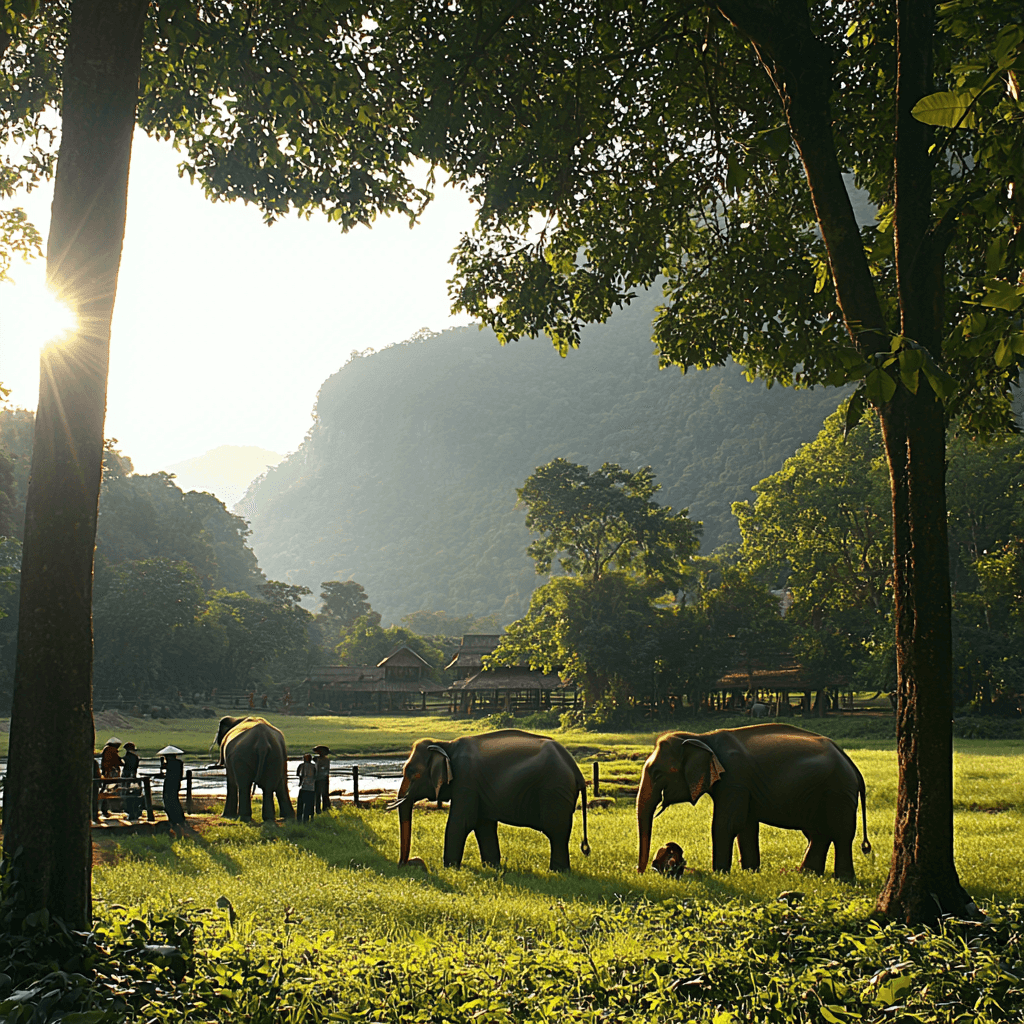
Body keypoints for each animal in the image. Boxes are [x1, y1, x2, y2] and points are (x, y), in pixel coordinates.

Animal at [387, 729, 591, 872]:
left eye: (413, 773)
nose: (411, 862)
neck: (446, 745)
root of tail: (576, 770)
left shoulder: (466, 781)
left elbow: (461, 822)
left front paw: (449, 868)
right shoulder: (477, 788)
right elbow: (483, 824)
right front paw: (493, 868)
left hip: (554, 790)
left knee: (556, 831)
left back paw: (557, 872)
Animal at [636, 723, 870, 879]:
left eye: (657, 774)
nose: (644, 871)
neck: (702, 737)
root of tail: (850, 762)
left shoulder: (735, 780)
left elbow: (727, 824)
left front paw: (720, 873)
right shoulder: (742, 786)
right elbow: (745, 825)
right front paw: (749, 872)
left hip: (838, 792)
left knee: (841, 833)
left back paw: (843, 880)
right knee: (818, 834)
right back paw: (807, 874)